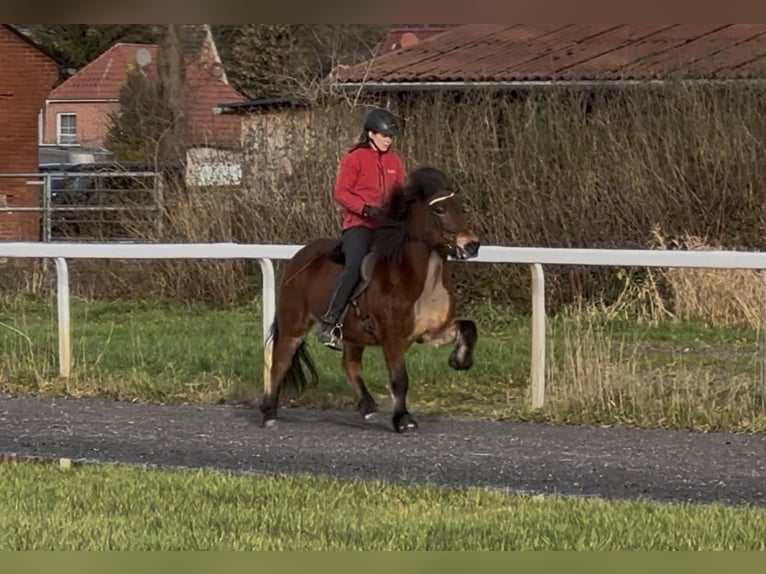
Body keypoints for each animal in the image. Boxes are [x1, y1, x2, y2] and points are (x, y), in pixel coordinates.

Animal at [258, 166, 480, 433]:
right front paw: (403, 420)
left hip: (353, 333)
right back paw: (269, 413)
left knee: (349, 364)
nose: (472, 245)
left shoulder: (431, 331)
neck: (417, 277)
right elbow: (399, 379)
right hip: (295, 324)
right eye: (439, 209)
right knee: (280, 361)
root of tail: (298, 258)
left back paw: (368, 408)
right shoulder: (392, 338)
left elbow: (469, 328)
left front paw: (460, 360)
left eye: (459, 206)